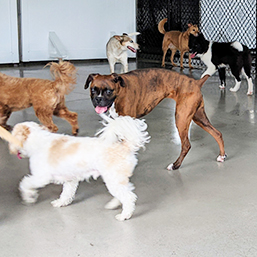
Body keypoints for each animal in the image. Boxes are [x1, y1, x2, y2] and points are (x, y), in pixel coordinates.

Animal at [0, 114, 150, 220]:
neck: (37, 140)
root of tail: (126, 146)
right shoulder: (70, 179)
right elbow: (67, 193)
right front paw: (61, 202)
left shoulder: (40, 177)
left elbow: (25, 183)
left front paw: (29, 197)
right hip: (118, 180)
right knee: (125, 193)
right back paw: (114, 204)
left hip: (113, 180)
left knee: (129, 198)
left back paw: (125, 215)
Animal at [84, 67, 226, 170]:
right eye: (93, 90)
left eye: (109, 91)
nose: (98, 99)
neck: (119, 91)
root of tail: (196, 82)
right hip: (198, 117)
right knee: (217, 133)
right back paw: (222, 156)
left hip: (181, 118)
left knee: (186, 145)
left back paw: (175, 165)